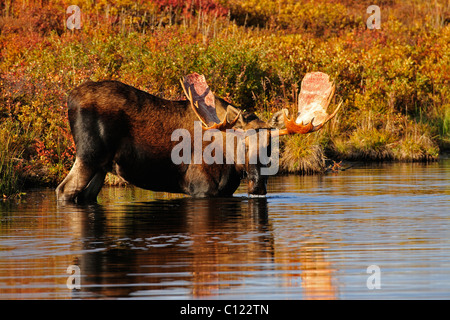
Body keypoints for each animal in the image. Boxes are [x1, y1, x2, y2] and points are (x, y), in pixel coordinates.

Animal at [54, 72, 340, 202]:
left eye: (272, 146)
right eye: (243, 143)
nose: (258, 184)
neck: (230, 164)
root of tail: (69, 97)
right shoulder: (200, 189)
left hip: (101, 166)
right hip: (89, 155)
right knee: (64, 189)